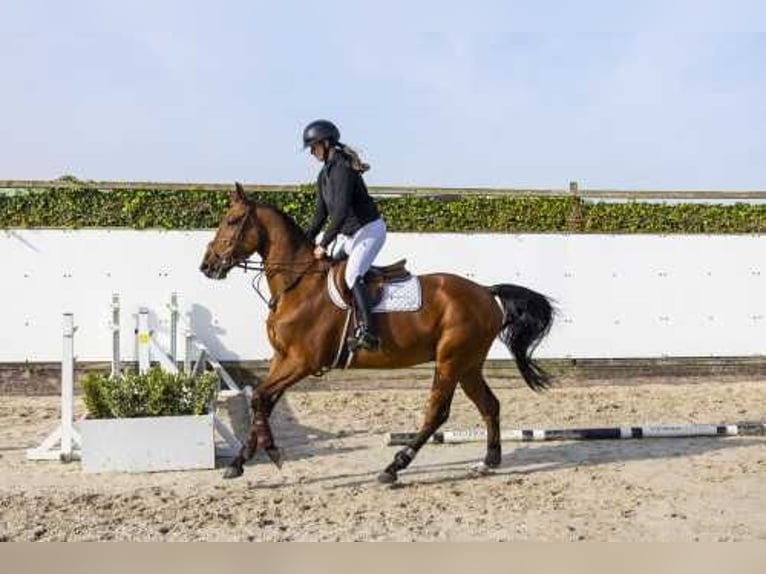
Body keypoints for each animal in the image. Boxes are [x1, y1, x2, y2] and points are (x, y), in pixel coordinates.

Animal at [201, 186, 556, 486]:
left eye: (232, 221)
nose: (207, 265)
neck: (297, 284)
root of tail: (485, 291)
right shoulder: (282, 359)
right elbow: (262, 401)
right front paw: (240, 461)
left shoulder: (302, 362)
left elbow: (261, 399)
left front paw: (271, 453)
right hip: (468, 365)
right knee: (489, 405)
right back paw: (488, 461)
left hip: (450, 362)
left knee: (437, 412)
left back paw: (395, 466)